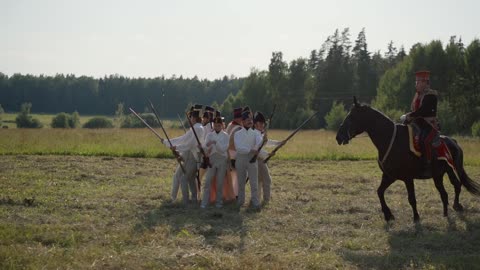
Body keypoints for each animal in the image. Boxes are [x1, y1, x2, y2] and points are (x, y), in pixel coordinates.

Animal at [334, 97, 480, 221]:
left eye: (352, 117)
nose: (338, 136)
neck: (390, 139)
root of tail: (454, 141)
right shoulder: (389, 176)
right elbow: (379, 192)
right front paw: (388, 215)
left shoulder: (408, 178)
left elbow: (411, 198)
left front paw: (416, 217)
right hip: (439, 175)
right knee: (446, 192)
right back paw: (446, 213)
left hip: (451, 171)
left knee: (456, 186)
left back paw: (456, 206)